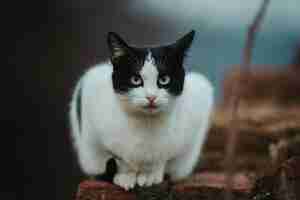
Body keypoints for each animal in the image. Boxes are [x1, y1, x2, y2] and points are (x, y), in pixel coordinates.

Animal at [69, 30, 214, 190]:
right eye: (135, 80)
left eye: (164, 80)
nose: (151, 97)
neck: (146, 123)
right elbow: (119, 159)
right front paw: (126, 176)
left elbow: (163, 157)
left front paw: (150, 175)